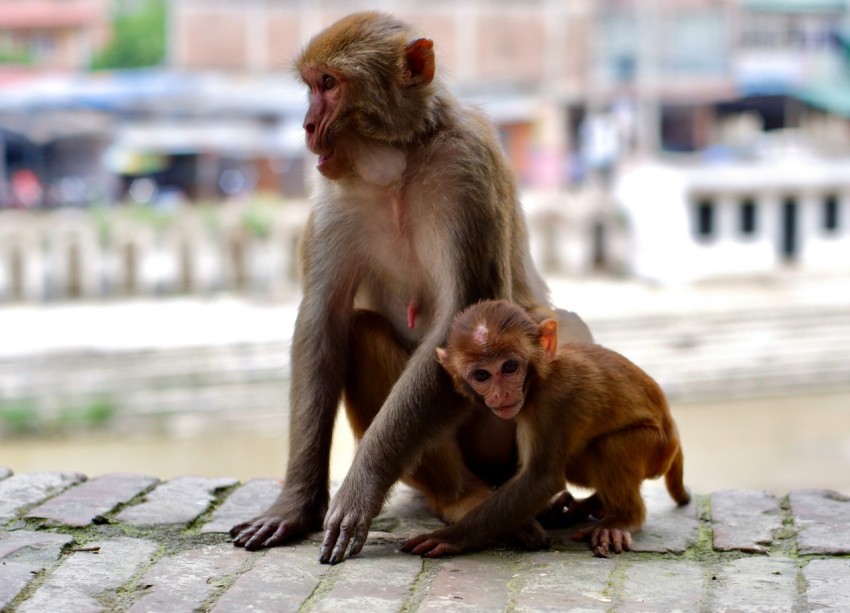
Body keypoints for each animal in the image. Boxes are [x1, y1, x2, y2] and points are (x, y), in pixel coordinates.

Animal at [228, 12, 593, 564]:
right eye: (311, 86)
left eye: (329, 84)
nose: (307, 125)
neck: (398, 162)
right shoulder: (334, 199)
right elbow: (323, 321)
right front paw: (295, 506)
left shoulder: (466, 170)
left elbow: (464, 315)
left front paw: (360, 487)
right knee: (360, 333)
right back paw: (461, 499)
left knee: (567, 329)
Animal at [402, 300, 690, 559]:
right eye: (482, 375)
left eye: (510, 366)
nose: (501, 394)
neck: (538, 379)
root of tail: (675, 437)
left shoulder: (552, 403)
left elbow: (541, 479)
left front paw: (451, 537)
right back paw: (587, 507)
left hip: (655, 448)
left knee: (610, 446)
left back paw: (622, 518)